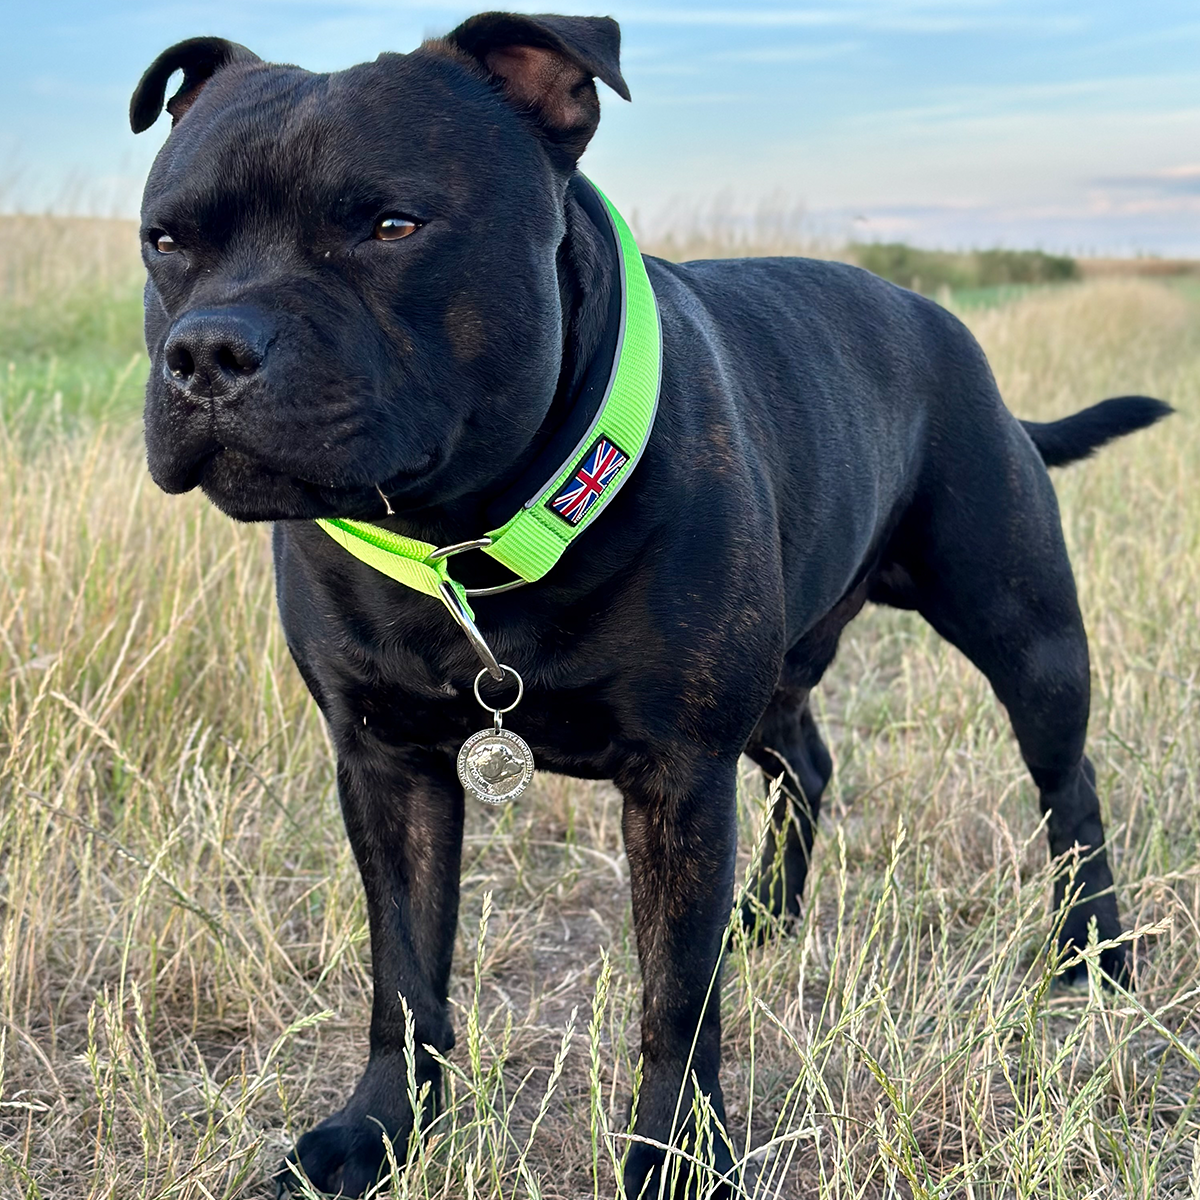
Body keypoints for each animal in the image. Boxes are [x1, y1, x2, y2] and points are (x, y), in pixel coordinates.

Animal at [131, 11, 1171, 1200]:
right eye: (165, 240)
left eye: (391, 225)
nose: (207, 350)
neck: (469, 538)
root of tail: (940, 320)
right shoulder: (386, 766)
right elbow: (403, 971)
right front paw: (380, 1129)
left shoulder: (679, 775)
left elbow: (675, 996)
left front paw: (677, 1154)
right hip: (780, 677)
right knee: (809, 762)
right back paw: (765, 919)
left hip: (1027, 636)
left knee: (1068, 791)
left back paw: (1092, 955)